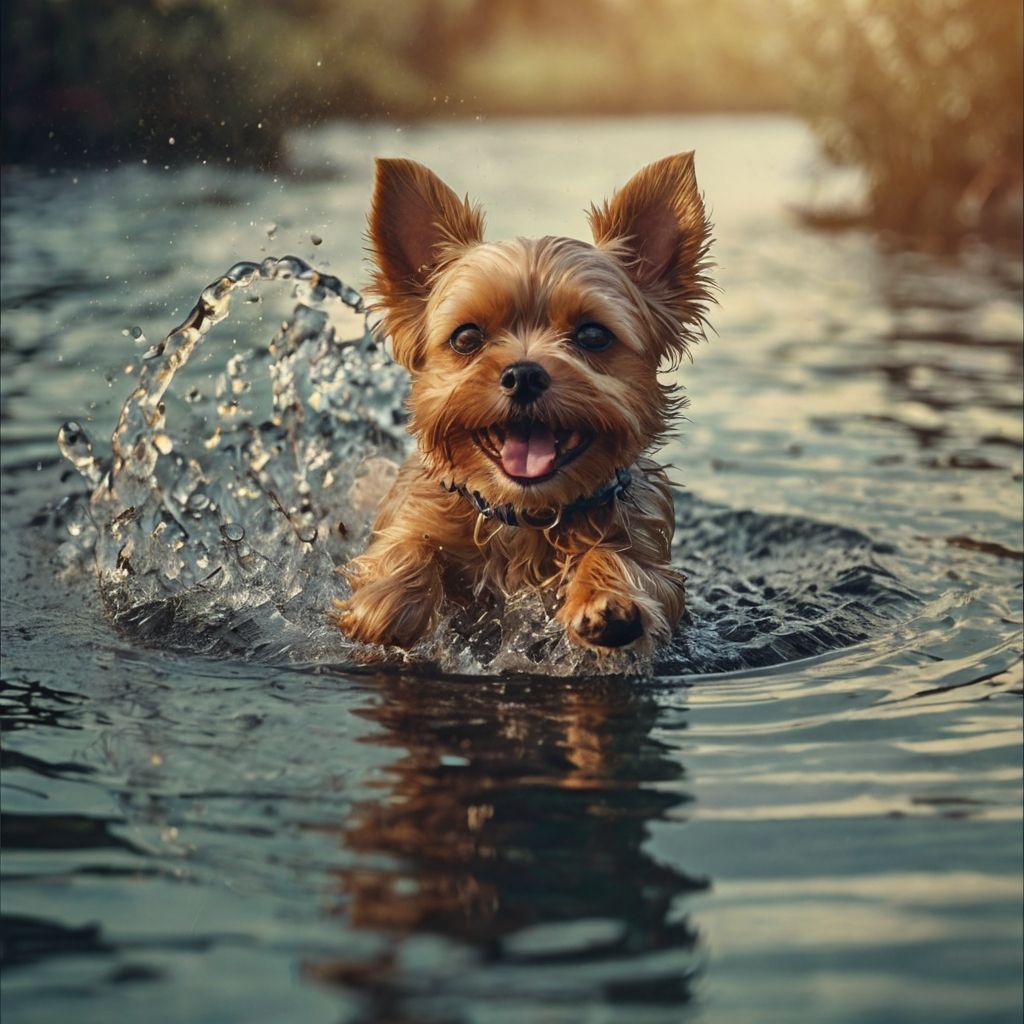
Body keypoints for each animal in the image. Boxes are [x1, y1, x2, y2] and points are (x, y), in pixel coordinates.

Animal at [335, 153, 712, 647]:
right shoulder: (409, 515)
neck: (527, 515)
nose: (524, 374)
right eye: (466, 337)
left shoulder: (654, 555)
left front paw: (605, 597)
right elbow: (408, 543)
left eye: (593, 335)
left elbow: (625, 560)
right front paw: (391, 598)